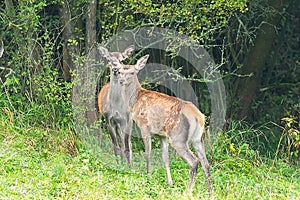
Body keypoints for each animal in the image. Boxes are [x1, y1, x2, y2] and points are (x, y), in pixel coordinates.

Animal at [116, 54, 213, 198]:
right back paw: (210, 194)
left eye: (132, 72)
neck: (135, 101)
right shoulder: (161, 135)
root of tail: (198, 116)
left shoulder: (144, 126)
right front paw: (170, 182)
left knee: (194, 161)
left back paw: (188, 192)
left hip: (178, 137)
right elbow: (165, 158)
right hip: (198, 138)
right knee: (205, 163)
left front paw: (149, 175)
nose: (121, 80)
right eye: (120, 71)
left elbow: (148, 153)